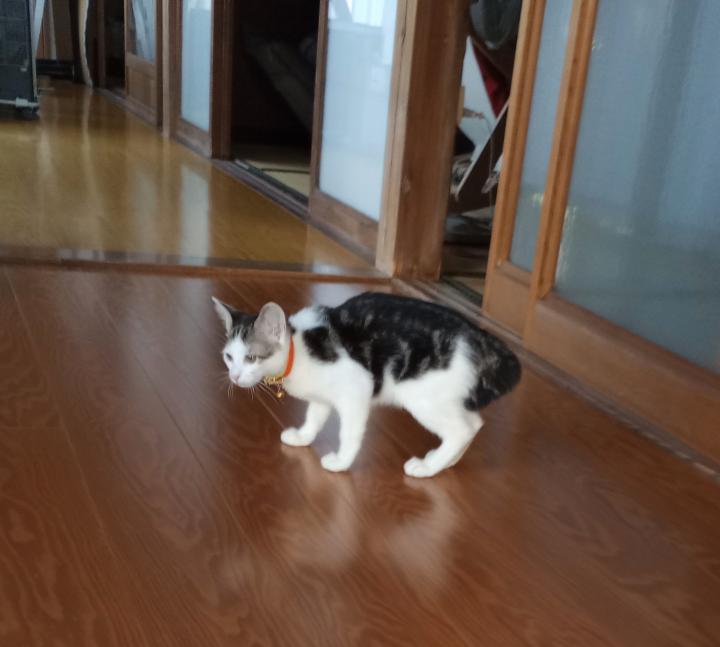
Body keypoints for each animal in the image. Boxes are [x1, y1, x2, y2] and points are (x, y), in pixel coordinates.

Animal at [212, 292, 521, 478]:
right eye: (229, 357)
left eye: (251, 358)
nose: (235, 376)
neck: (298, 350)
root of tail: (476, 334)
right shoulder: (322, 397)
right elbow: (314, 417)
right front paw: (303, 437)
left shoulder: (356, 389)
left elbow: (349, 433)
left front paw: (341, 462)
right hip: (445, 397)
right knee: (474, 423)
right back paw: (446, 461)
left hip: (422, 397)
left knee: (462, 429)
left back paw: (427, 467)